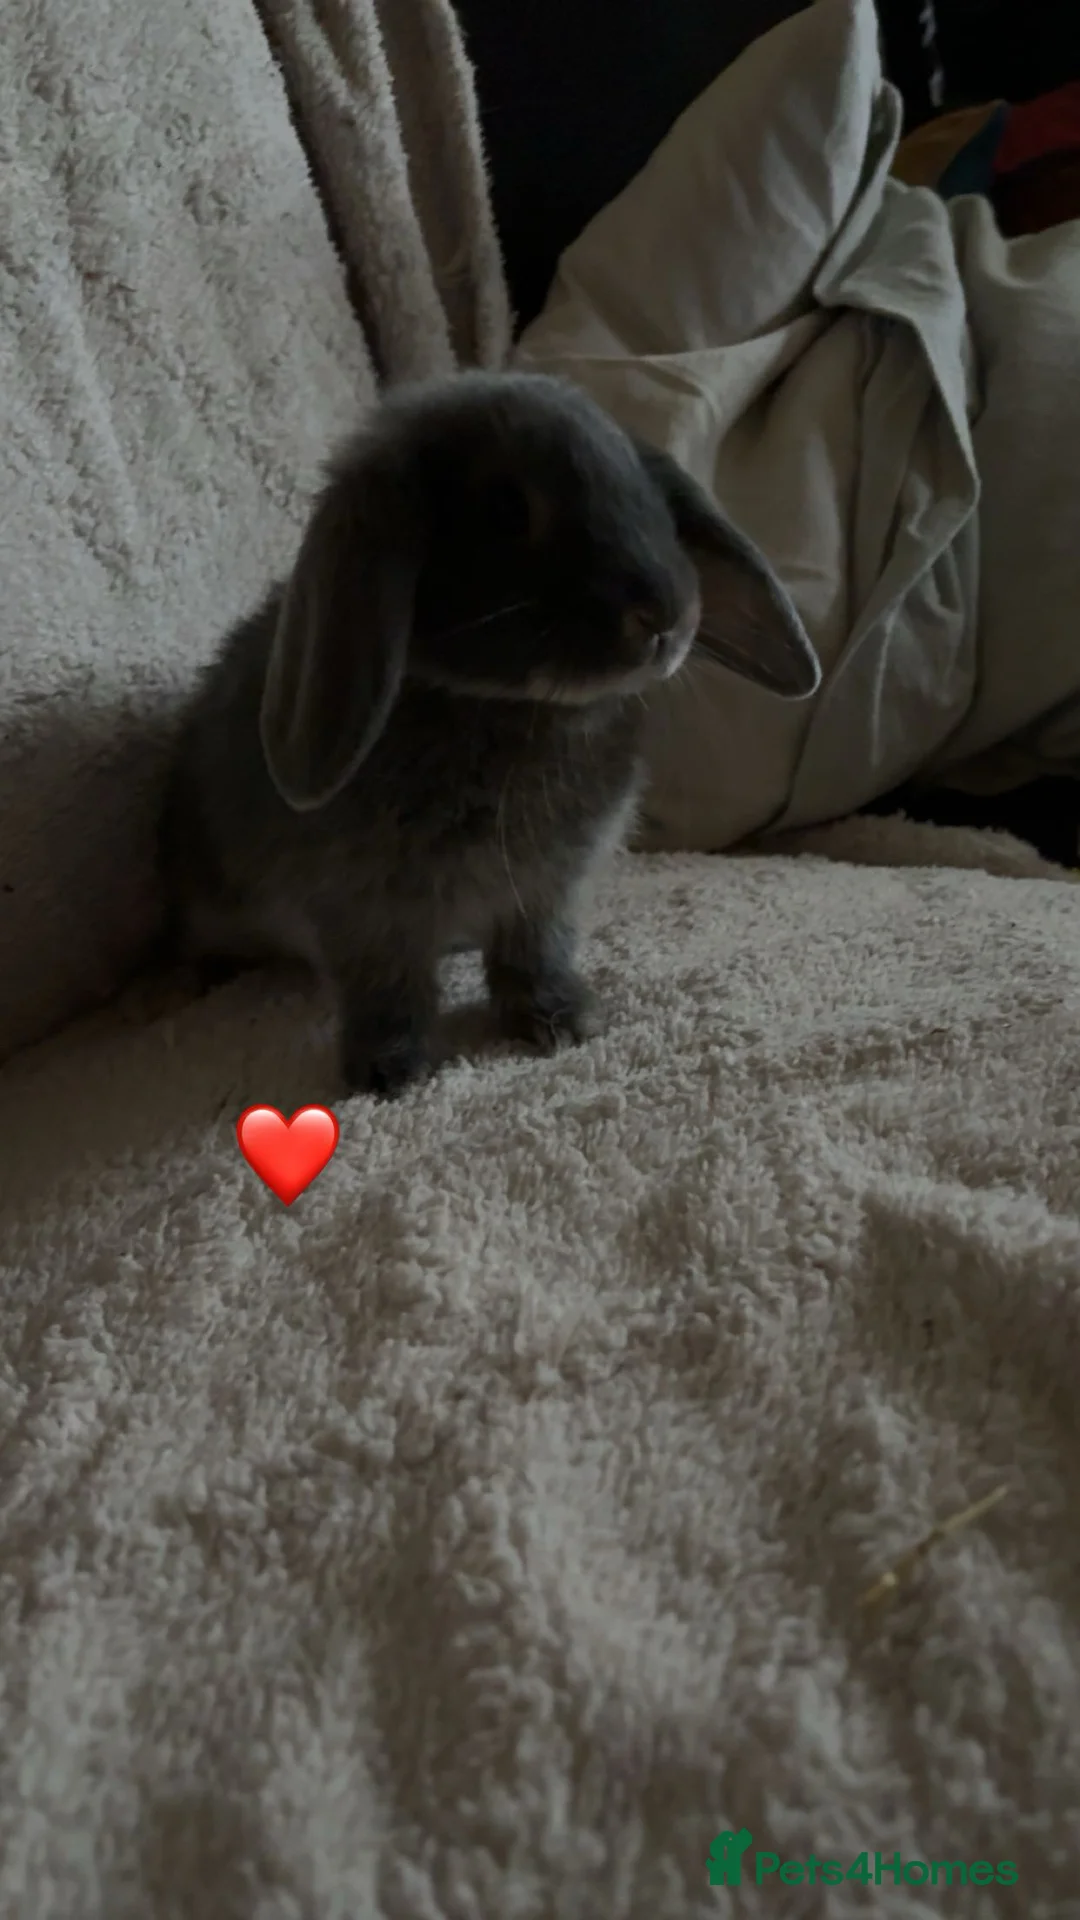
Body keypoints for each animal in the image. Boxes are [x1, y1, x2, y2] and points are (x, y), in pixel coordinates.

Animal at [159, 370, 819, 1097]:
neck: (509, 707)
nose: (665, 617)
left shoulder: (547, 892)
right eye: (505, 510)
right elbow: (388, 988)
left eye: (646, 491)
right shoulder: (367, 913)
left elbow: (534, 956)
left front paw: (565, 1021)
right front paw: (390, 1072)